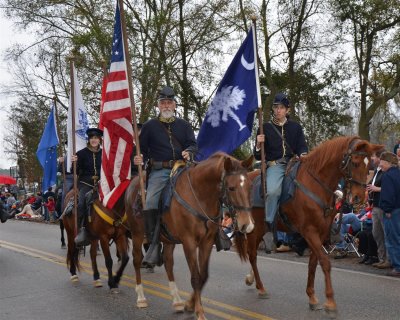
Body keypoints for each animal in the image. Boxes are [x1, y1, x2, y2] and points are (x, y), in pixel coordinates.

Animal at [126, 152, 255, 320]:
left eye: (250, 186)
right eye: (231, 188)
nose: (248, 225)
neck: (200, 196)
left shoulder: (207, 242)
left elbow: (203, 276)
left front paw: (189, 304)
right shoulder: (189, 242)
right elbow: (195, 277)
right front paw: (199, 312)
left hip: (168, 240)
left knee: (168, 262)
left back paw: (177, 301)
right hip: (137, 234)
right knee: (136, 261)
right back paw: (141, 298)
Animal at [242, 136, 382, 318]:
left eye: (370, 164)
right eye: (356, 162)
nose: (359, 197)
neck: (316, 185)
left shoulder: (320, 233)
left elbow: (313, 264)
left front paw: (312, 298)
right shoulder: (309, 231)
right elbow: (325, 262)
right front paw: (330, 302)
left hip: (262, 229)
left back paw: (251, 279)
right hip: (254, 229)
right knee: (252, 255)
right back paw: (260, 287)